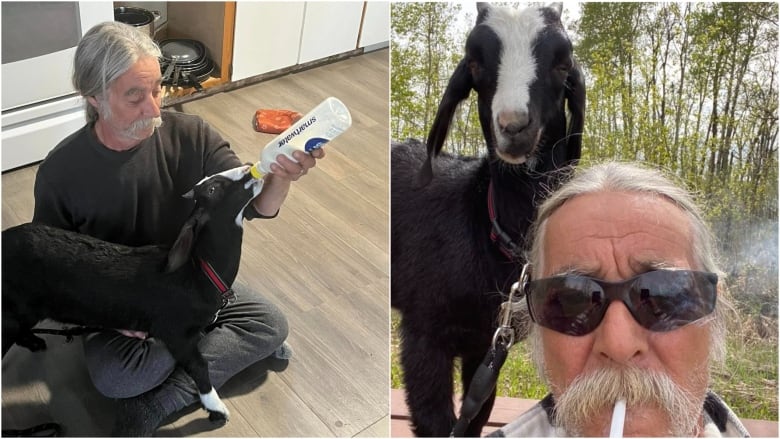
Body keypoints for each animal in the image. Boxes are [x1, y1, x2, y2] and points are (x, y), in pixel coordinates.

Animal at [1, 165, 264, 430]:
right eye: (212, 188)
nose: (249, 169)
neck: (199, 272)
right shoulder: (175, 332)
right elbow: (199, 366)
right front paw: (216, 408)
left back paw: (35, 342)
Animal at [390, 2, 584, 436]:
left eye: (563, 63)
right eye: (476, 63)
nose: (513, 126)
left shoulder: (488, 345)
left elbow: (476, 415)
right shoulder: (423, 334)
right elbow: (436, 421)